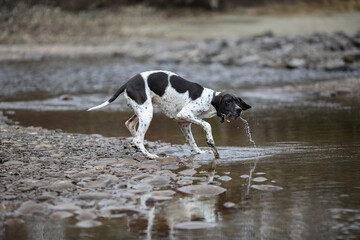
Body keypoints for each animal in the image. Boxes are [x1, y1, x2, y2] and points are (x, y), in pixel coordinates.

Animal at [88, 70, 250, 159]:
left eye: (237, 101)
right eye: (228, 102)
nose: (239, 110)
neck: (209, 99)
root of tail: (127, 83)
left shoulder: (183, 122)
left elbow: (192, 141)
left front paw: (199, 152)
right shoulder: (186, 113)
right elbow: (207, 124)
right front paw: (210, 140)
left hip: (143, 109)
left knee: (130, 125)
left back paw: (138, 146)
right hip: (147, 113)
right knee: (139, 138)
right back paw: (148, 154)